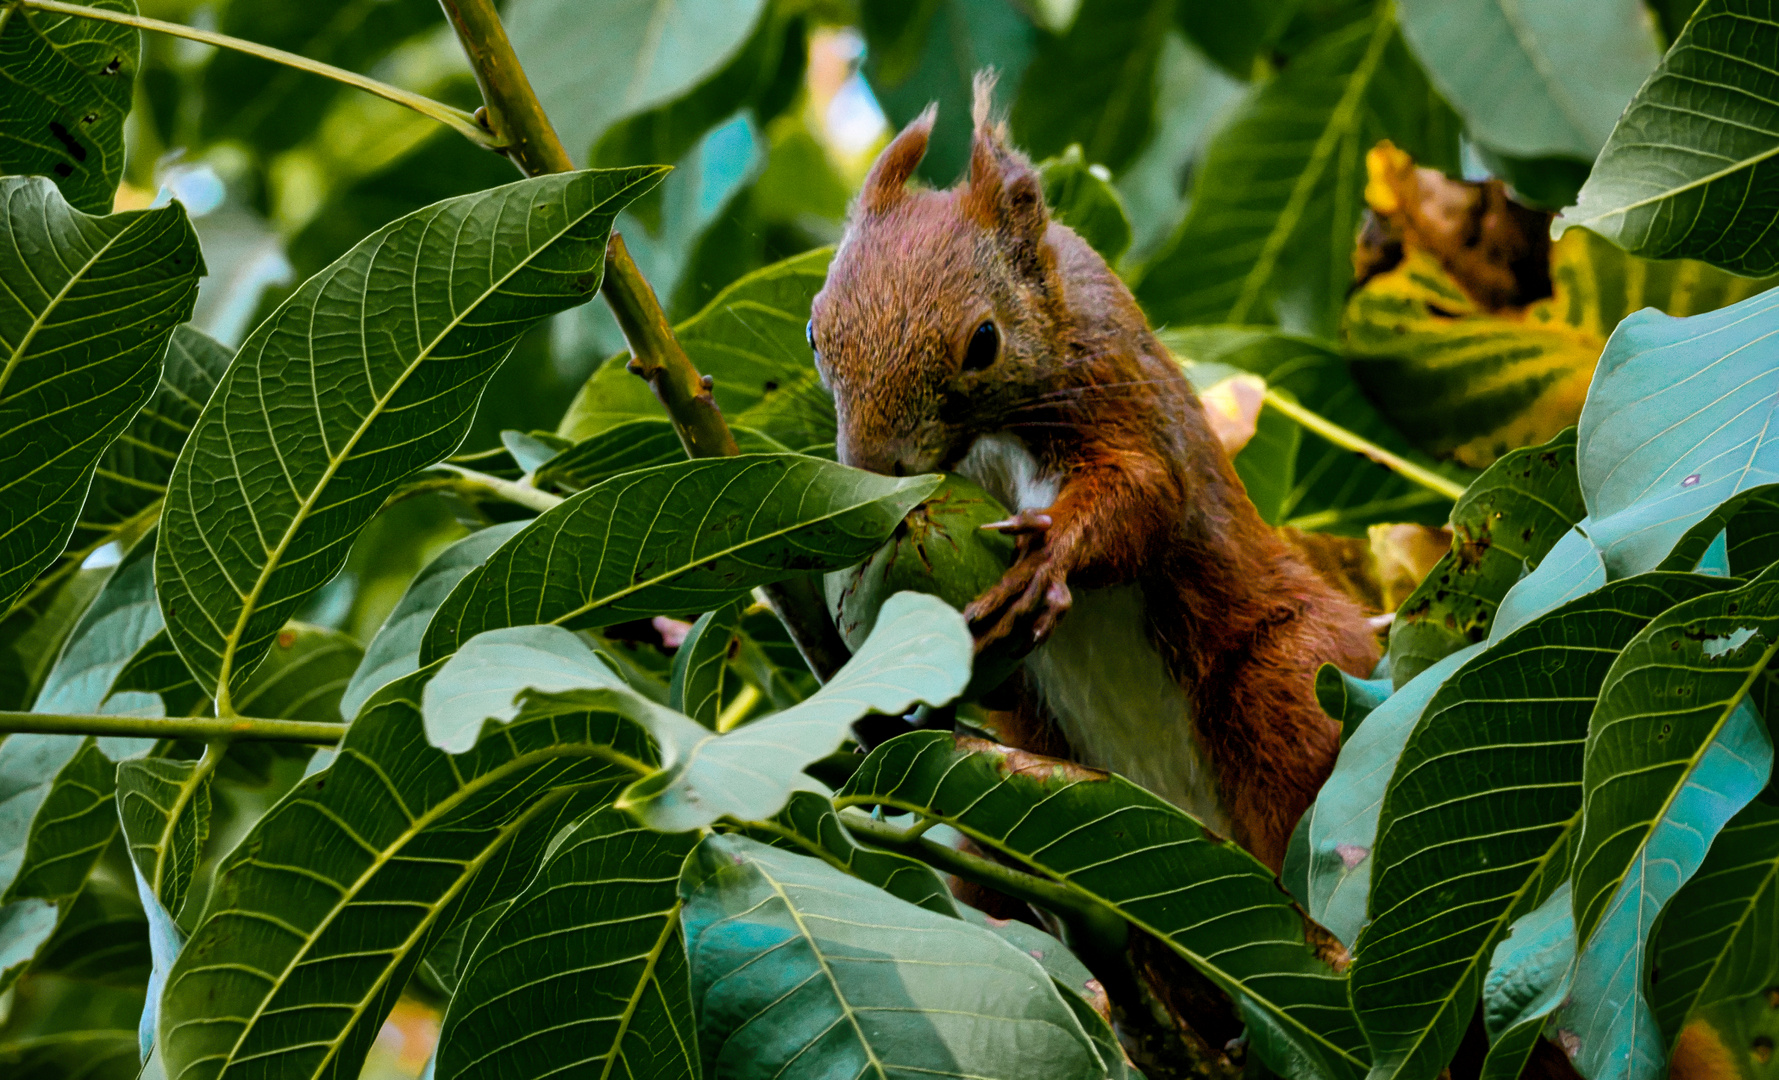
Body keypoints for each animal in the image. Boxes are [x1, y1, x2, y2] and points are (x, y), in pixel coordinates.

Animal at [807, 78, 1373, 871]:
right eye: (813, 329)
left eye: (983, 342)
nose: (873, 466)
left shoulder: (1116, 392)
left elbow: (1144, 492)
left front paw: (1051, 555)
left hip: (1293, 680)